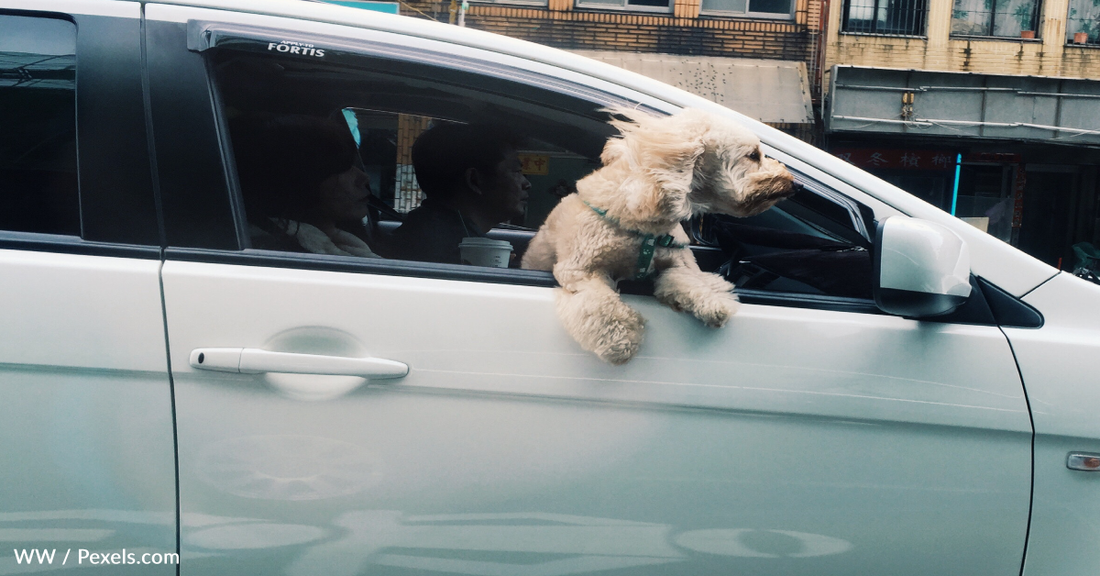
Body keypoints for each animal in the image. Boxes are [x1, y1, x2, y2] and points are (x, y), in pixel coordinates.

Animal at [519, 107, 796, 364]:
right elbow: (603, 305)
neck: (646, 227)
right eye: (753, 155)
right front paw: (621, 340)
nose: (793, 183)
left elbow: (689, 280)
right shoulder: (580, 271)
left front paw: (712, 302)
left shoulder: (676, 262)